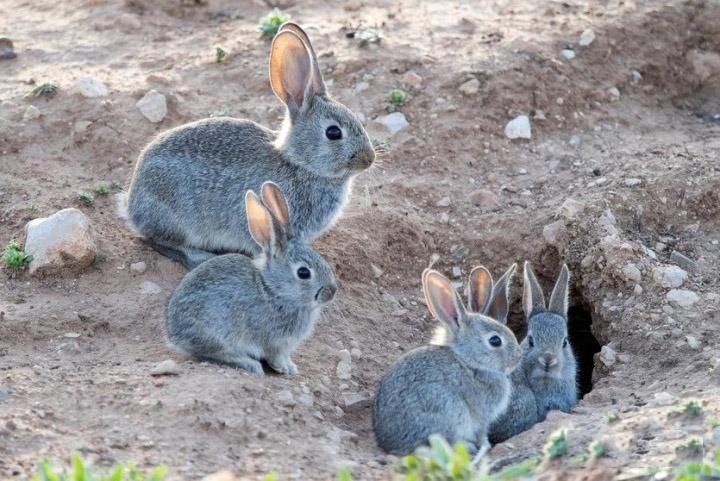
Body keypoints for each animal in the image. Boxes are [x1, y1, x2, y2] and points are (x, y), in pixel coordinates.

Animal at [120, 22, 374, 268]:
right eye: (333, 132)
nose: (369, 159)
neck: (299, 164)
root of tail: (131, 205)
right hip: (177, 219)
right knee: (159, 241)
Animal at [166, 181, 338, 376]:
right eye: (303, 273)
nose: (332, 292)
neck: (273, 291)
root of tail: (174, 333)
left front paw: (291, 366)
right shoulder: (273, 341)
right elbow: (275, 356)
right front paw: (285, 368)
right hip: (217, 334)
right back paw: (250, 364)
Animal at [372, 268, 524, 456]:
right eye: (495, 341)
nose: (519, 356)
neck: (468, 361)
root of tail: (391, 446)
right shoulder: (482, 417)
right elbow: (481, 432)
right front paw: (485, 445)